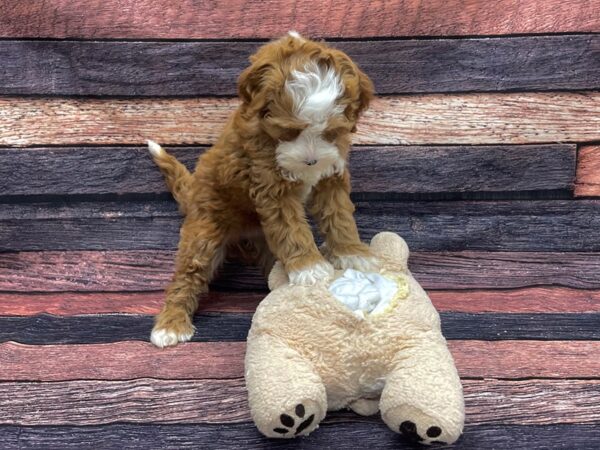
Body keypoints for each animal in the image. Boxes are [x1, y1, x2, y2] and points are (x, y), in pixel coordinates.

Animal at [148, 31, 378, 348]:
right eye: (289, 131)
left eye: (331, 132)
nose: (311, 161)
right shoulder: (271, 185)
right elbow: (292, 228)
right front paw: (309, 268)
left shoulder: (331, 176)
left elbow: (338, 216)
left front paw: (352, 253)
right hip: (204, 231)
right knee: (188, 273)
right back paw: (170, 325)